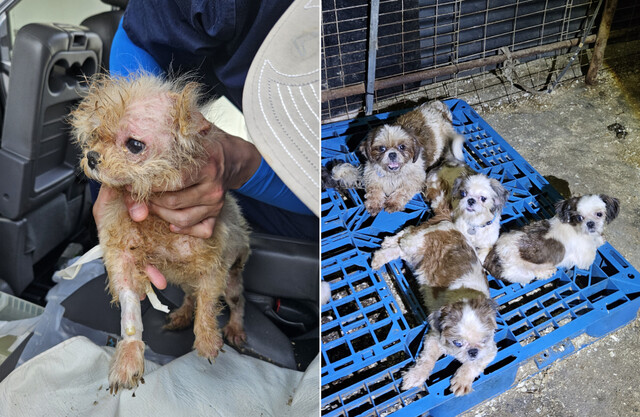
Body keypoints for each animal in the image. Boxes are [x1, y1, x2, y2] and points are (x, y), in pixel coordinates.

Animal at [70, 73, 250, 392]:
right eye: (97, 135)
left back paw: (234, 328)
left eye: (134, 145)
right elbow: (130, 311)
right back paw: (181, 315)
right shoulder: (124, 261)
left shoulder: (212, 268)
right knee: (190, 297)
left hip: (231, 282)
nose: (91, 157)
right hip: (186, 282)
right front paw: (129, 357)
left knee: (236, 303)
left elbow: (207, 305)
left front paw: (207, 339)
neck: (153, 217)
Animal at [370, 206, 500, 394]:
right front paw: (416, 376)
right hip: (415, 245)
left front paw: (463, 379)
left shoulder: (490, 349)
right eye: (457, 343)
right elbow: (428, 359)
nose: (473, 351)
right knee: (405, 237)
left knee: (403, 240)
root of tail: (448, 223)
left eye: (483, 340)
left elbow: (477, 364)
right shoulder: (434, 337)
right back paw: (382, 254)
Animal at [484, 194, 620, 284]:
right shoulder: (584, 256)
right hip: (522, 272)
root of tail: (493, 254)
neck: (575, 227)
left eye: (599, 214)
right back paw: (546, 272)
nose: (590, 223)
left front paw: (599, 239)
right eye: (580, 217)